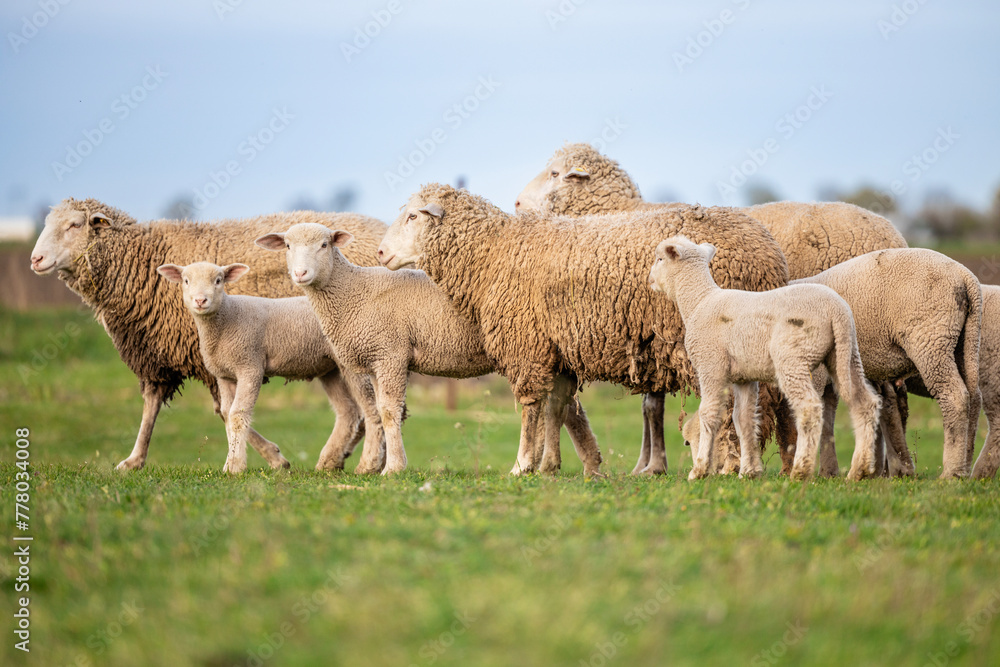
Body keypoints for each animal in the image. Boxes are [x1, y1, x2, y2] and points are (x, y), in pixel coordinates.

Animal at [156, 261, 381, 474]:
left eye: (218, 280)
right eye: (186, 281)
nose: (200, 301)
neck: (227, 317)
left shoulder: (250, 365)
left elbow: (238, 414)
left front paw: (235, 466)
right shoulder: (224, 375)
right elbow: (228, 413)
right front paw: (231, 462)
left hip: (353, 362)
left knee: (371, 408)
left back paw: (370, 464)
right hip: (330, 367)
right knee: (348, 411)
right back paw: (328, 462)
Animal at [255, 223, 604, 476]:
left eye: (324, 245)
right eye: (287, 246)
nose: (300, 274)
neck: (353, 290)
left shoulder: (391, 353)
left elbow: (389, 411)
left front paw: (393, 468)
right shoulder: (377, 359)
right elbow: (378, 411)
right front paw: (370, 467)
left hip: (529, 348)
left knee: (545, 405)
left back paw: (534, 465)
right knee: (562, 405)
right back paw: (575, 467)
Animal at [376, 184, 789, 474]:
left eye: (413, 217)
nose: (380, 253)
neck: (494, 252)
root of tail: (769, 254)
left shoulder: (527, 344)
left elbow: (531, 409)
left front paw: (522, 464)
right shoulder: (558, 348)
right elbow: (556, 407)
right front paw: (549, 465)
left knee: (731, 404)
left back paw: (729, 464)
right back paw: (747, 465)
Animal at [648, 235, 881, 480]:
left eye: (660, 259)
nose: (649, 279)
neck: (699, 301)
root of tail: (837, 311)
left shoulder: (711, 365)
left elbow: (709, 413)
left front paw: (699, 470)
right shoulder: (744, 377)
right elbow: (744, 419)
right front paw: (749, 471)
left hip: (794, 358)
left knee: (809, 408)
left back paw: (800, 470)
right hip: (847, 353)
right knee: (865, 403)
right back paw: (859, 470)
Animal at [791, 248, 982, 479]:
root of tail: (965, 275)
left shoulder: (815, 370)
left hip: (930, 340)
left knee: (955, 396)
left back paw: (950, 473)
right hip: (963, 342)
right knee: (974, 397)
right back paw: (964, 468)